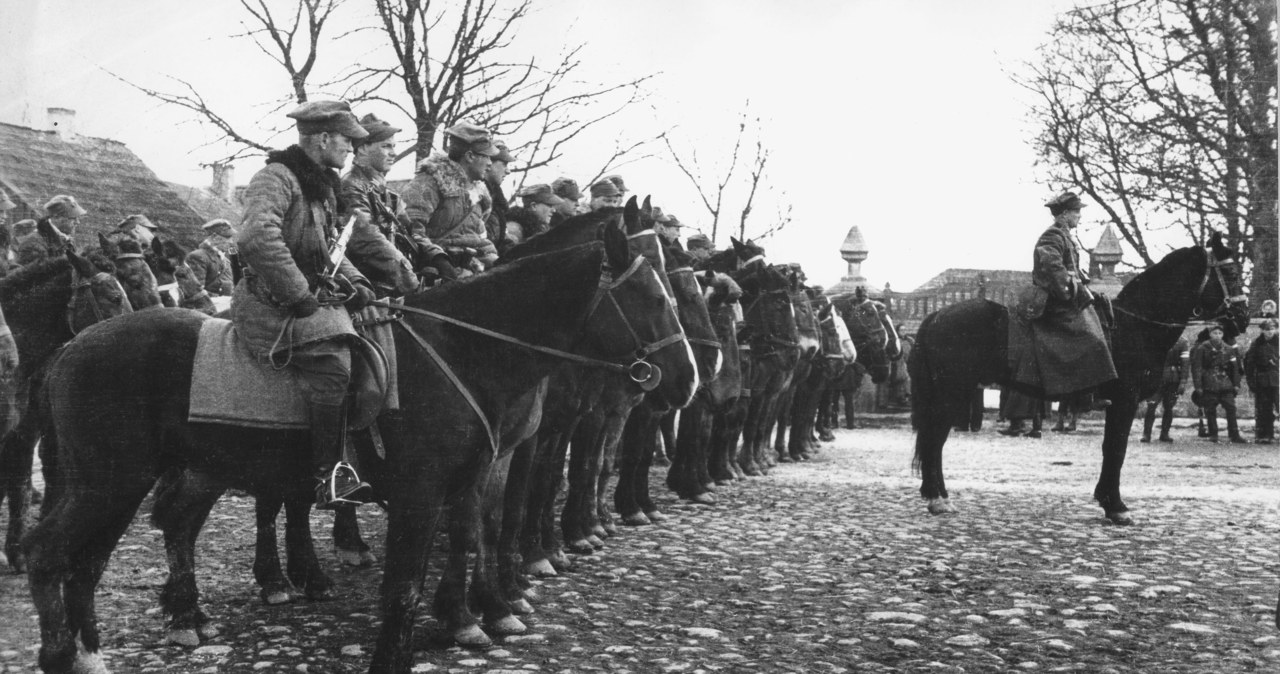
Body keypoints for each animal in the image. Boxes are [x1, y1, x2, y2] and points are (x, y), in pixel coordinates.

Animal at [20, 218, 696, 670]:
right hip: (109, 482)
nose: (687, 379)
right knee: (52, 555)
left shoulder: (474, 477)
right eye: (652, 296)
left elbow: (468, 538)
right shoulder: (423, 495)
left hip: (138, 479)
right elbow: (403, 587)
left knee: (103, 554)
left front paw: (476, 614)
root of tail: (68, 350)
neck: (463, 349)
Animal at [911, 235, 1249, 524]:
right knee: (935, 439)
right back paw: (937, 498)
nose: (1244, 318)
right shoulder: (1124, 401)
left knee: (933, 439)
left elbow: (1111, 448)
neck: (1134, 326)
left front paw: (1107, 500)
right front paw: (1115, 506)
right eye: (1231, 271)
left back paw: (938, 495)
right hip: (952, 393)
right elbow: (1116, 449)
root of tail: (937, 316)